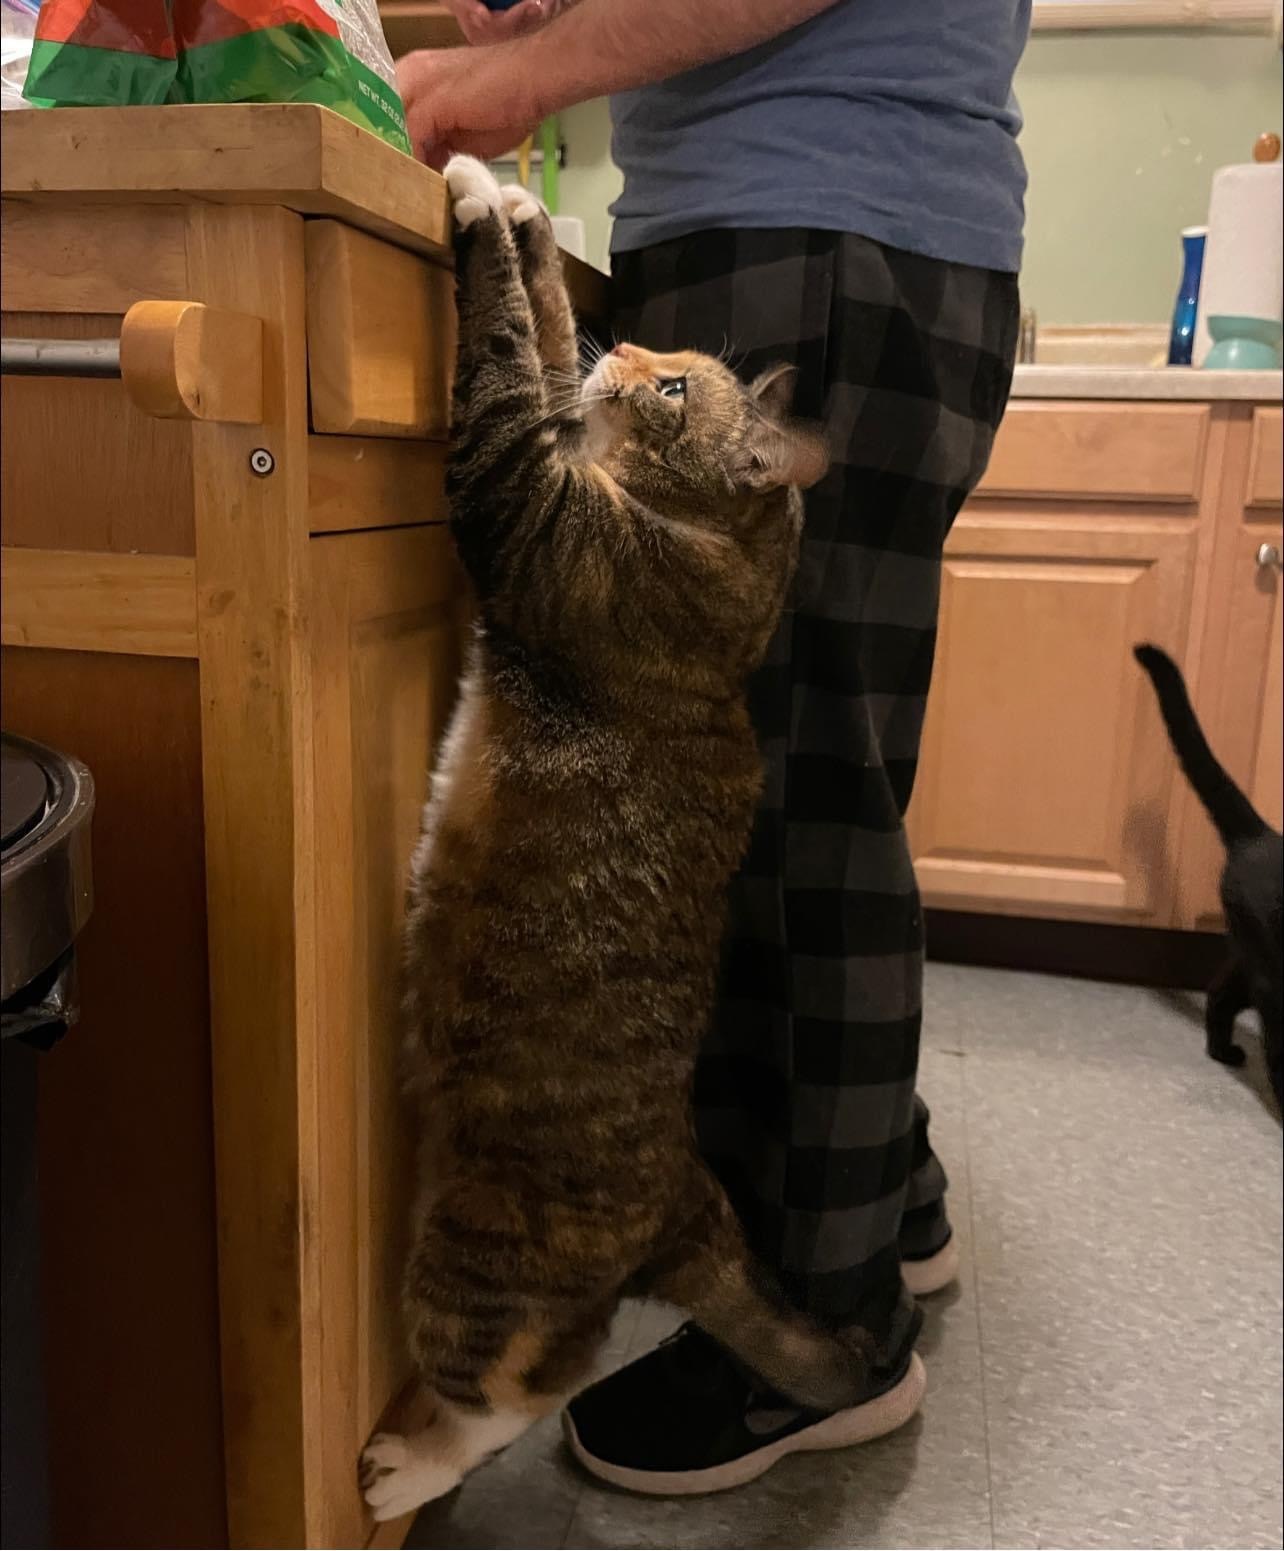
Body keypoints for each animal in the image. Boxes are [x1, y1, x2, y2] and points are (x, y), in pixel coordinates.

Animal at [358, 160, 880, 1526]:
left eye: (677, 391)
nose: (633, 345)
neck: (723, 572)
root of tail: (681, 1195)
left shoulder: (520, 499)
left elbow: (500, 356)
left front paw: (477, 193)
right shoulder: (550, 456)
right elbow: (539, 341)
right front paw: (527, 215)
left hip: (478, 1254)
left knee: (521, 1386)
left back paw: (406, 1465)